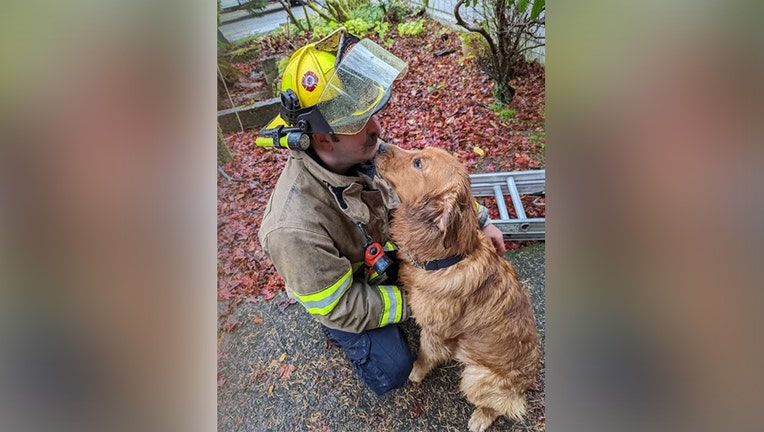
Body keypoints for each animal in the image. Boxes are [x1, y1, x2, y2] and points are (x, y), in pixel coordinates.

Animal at [374, 145, 536, 432]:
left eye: (418, 163)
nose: (380, 145)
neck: (444, 259)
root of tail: (526, 384)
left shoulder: (435, 333)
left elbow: (425, 356)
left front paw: (415, 373)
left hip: (475, 377)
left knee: (501, 406)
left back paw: (480, 418)